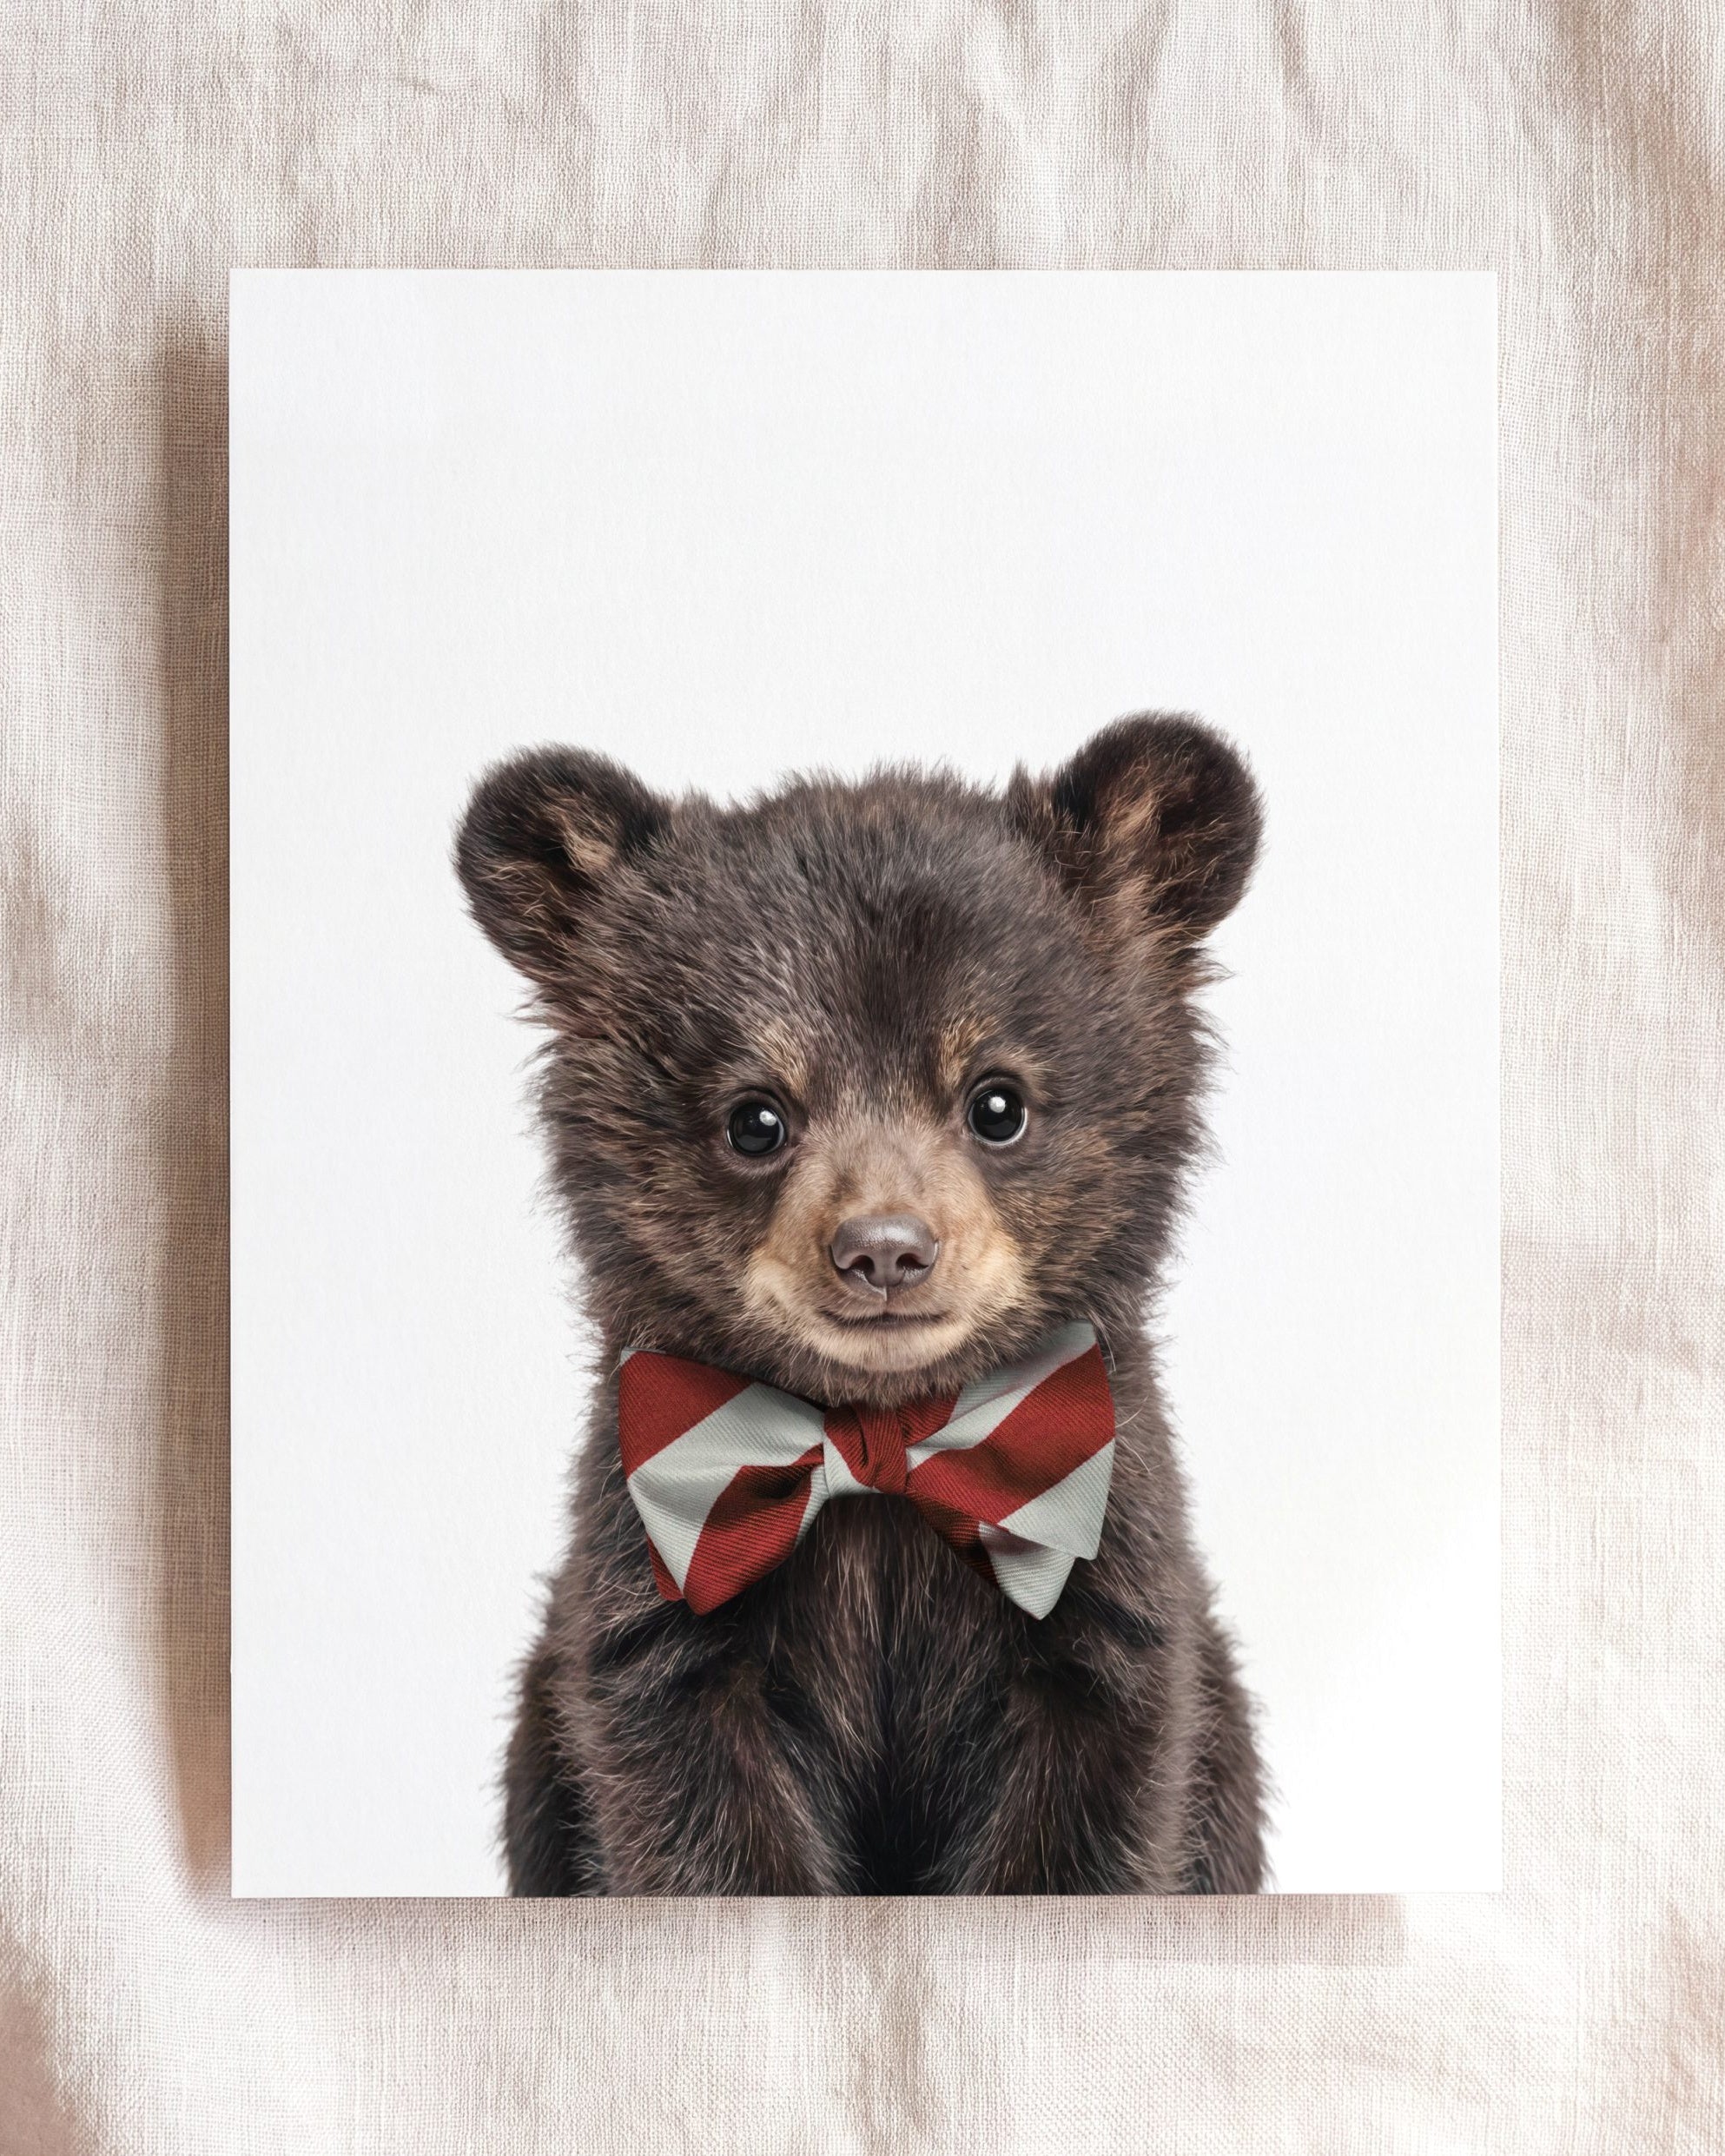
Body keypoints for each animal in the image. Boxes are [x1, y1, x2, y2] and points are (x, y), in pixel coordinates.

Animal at [456, 711, 1268, 1895]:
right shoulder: (658, 1609)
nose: (884, 1250)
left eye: (998, 1101)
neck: (886, 1450)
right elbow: (699, 1823)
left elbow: (1089, 1823)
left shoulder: (1103, 1593)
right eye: (755, 1117)